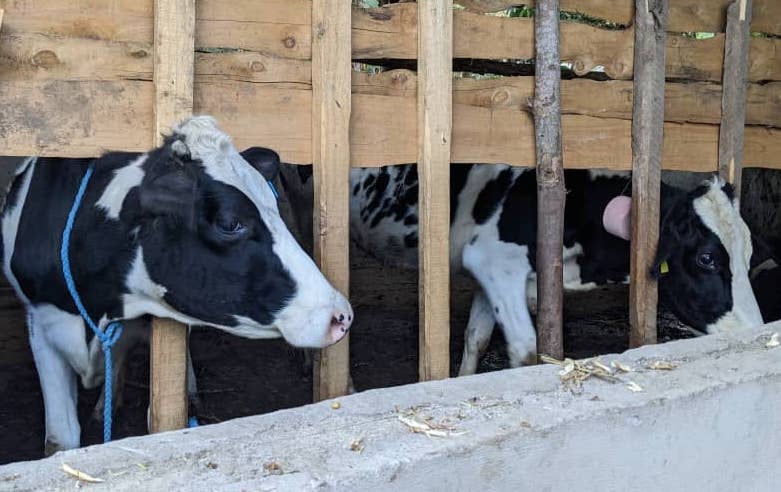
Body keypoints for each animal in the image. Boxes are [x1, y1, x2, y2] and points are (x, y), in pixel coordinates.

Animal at [276, 163, 764, 376]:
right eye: (706, 257)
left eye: (749, 255)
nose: (756, 333)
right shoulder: (497, 264)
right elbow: (526, 349)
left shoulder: (489, 274)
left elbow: (476, 337)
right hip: (305, 207)